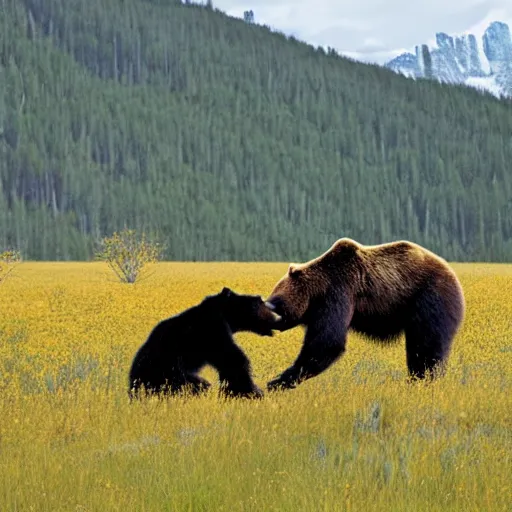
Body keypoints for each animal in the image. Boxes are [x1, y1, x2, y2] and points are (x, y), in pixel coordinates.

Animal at [128, 288, 280, 400]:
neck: (227, 317)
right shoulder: (212, 331)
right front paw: (251, 392)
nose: (278, 317)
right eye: (259, 302)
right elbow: (232, 359)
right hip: (167, 373)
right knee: (195, 385)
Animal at [266, 238, 466, 390]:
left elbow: (327, 342)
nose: (268, 318)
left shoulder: (340, 290)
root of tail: (452, 273)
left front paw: (278, 381)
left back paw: (422, 380)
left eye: (275, 302)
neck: (317, 292)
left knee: (427, 346)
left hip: (430, 299)